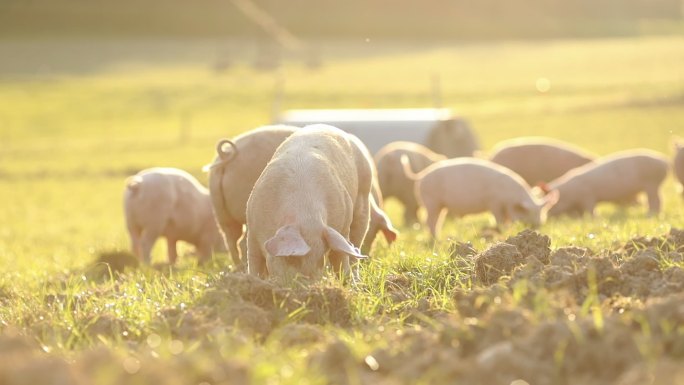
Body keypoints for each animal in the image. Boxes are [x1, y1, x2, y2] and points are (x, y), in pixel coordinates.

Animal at [204, 124, 298, 266]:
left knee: (231, 240)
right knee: (243, 243)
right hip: (247, 211)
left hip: (222, 214)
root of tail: (226, 155)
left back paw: (238, 267)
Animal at [246, 124, 396, 280]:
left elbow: (340, 257)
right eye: (291, 258)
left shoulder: (341, 224)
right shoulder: (252, 228)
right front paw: (254, 280)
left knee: (354, 247)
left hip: (363, 200)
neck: (304, 212)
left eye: (321, 259)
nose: (310, 282)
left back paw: (355, 279)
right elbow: (254, 260)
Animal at [404, 156, 560, 237]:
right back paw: (436, 240)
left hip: (440, 205)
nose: (536, 230)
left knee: (437, 221)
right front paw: (502, 231)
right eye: (527, 218)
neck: (510, 197)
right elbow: (499, 219)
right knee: (429, 221)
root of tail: (421, 175)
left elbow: (506, 220)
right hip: (431, 201)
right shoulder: (494, 202)